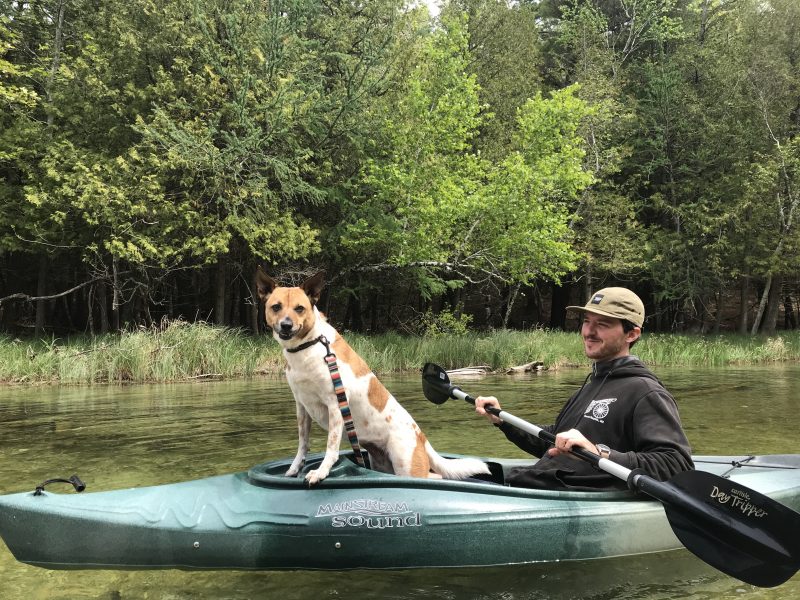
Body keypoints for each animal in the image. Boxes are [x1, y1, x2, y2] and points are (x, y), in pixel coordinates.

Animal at [256, 270, 488, 486]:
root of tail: (421, 436)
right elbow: (303, 444)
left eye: (299, 308)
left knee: (434, 476)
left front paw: (320, 472)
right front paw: (294, 469)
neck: (308, 345)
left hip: (407, 467)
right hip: (383, 464)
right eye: (276, 307)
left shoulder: (335, 405)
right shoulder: (302, 407)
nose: (286, 325)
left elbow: (331, 447)